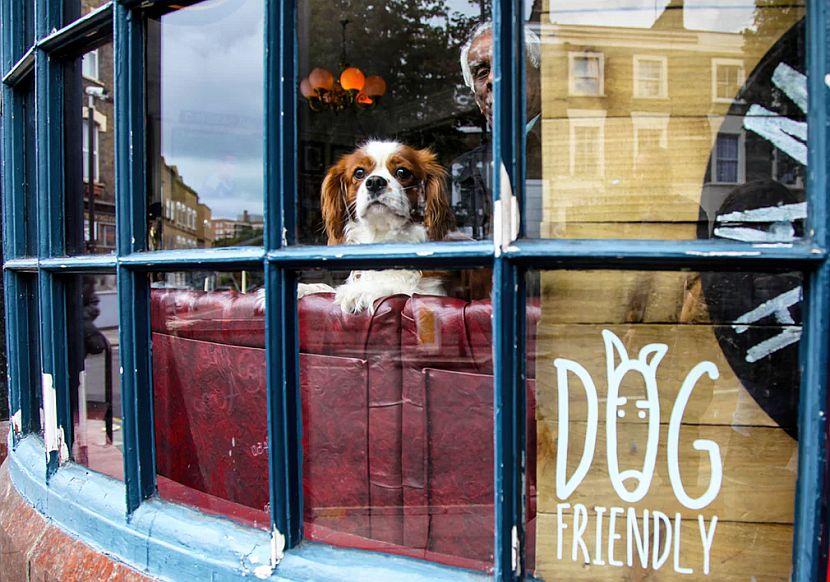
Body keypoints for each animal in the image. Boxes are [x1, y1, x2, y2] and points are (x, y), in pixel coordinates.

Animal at [298, 141, 456, 314]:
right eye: (359, 172)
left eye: (402, 172)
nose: (374, 182)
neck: (381, 237)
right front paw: (305, 288)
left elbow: (406, 288)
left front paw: (362, 290)